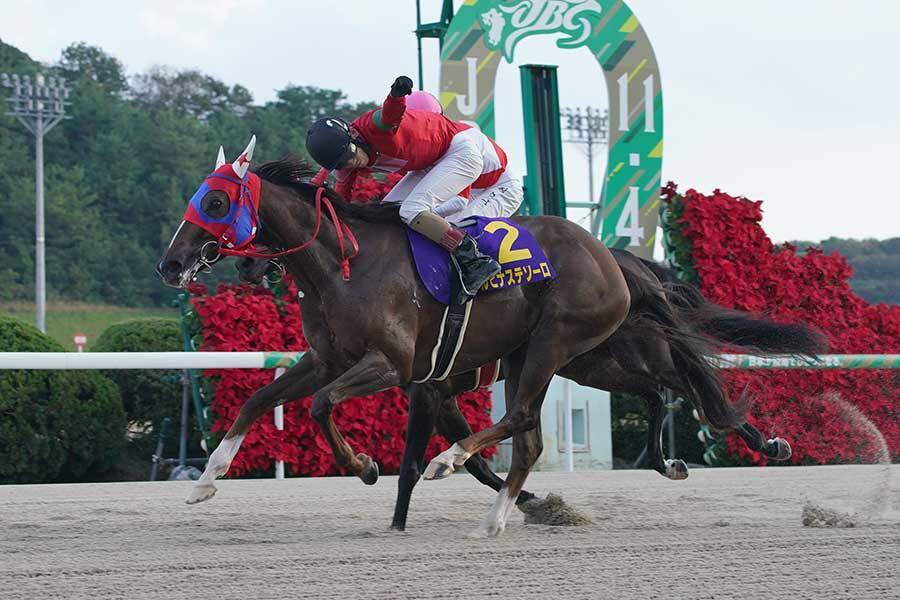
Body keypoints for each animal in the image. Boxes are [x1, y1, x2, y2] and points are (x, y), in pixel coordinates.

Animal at [160, 146, 652, 524]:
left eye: (216, 203)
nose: (170, 264)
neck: (342, 265)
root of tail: (606, 254)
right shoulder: (326, 360)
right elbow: (257, 400)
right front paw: (206, 481)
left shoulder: (392, 365)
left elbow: (322, 405)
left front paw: (363, 465)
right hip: (524, 354)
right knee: (527, 435)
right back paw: (498, 509)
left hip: (555, 344)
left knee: (524, 417)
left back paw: (451, 460)